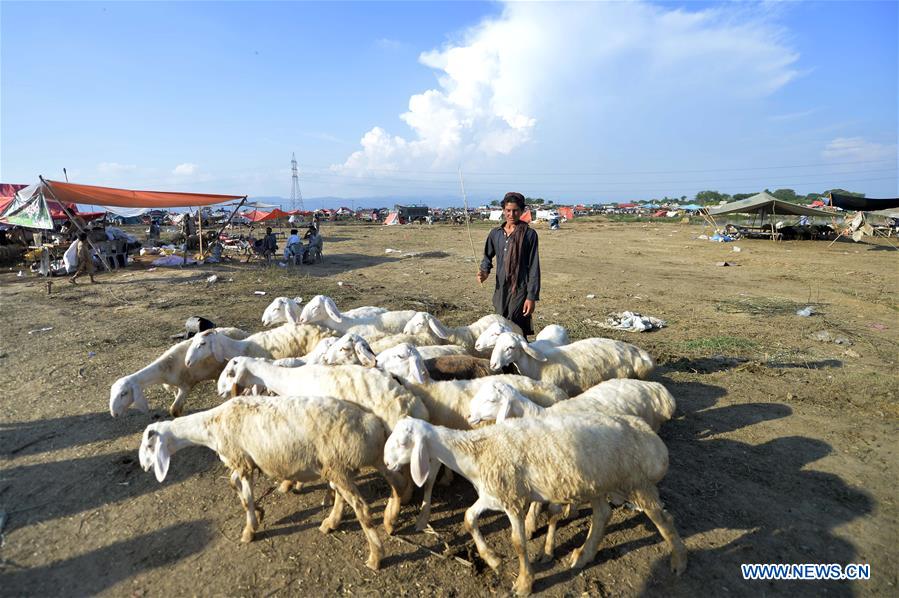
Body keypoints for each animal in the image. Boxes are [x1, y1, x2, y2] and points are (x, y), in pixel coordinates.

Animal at [113, 328, 253, 418]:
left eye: (124, 393)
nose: (114, 413)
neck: (165, 368)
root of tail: (243, 332)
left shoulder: (186, 386)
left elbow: (174, 411)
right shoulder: (176, 387)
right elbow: (178, 409)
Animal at [138, 396, 404, 568]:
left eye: (148, 445)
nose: (143, 467)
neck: (211, 427)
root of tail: (374, 423)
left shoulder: (241, 461)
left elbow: (244, 497)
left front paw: (249, 529)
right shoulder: (243, 462)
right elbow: (236, 488)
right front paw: (260, 513)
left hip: (340, 465)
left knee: (363, 507)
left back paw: (376, 556)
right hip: (343, 465)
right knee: (383, 488)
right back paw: (349, 522)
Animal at [384, 414, 684, 596]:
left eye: (402, 442)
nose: (386, 463)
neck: (476, 452)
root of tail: (651, 436)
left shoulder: (513, 499)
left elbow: (518, 542)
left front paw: (524, 583)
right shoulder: (493, 495)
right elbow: (468, 518)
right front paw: (492, 559)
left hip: (637, 481)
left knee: (663, 519)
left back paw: (679, 561)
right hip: (597, 483)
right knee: (602, 514)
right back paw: (583, 555)